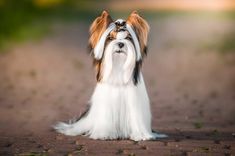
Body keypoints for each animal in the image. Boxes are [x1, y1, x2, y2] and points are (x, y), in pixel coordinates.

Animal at [54, 10, 166, 141]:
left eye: (128, 38)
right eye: (111, 38)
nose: (121, 44)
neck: (118, 67)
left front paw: (141, 136)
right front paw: (104, 135)